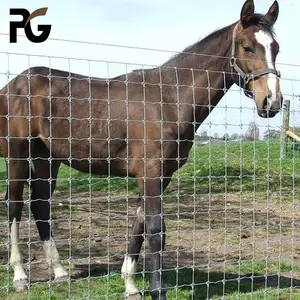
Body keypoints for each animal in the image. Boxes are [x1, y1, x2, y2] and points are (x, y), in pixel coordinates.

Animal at [0, 0, 282, 298]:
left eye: (276, 48)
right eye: (247, 47)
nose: (272, 102)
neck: (168, 98)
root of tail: (12, 85)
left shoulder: (161, 176)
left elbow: (139, 226)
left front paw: (131, 285)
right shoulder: (151, 173)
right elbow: (156, 230)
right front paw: (158, 291)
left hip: (47, 159)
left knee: (40, 205)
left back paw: (59, 271)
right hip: (16, 156)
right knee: (14, 205)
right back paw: (20, 275)